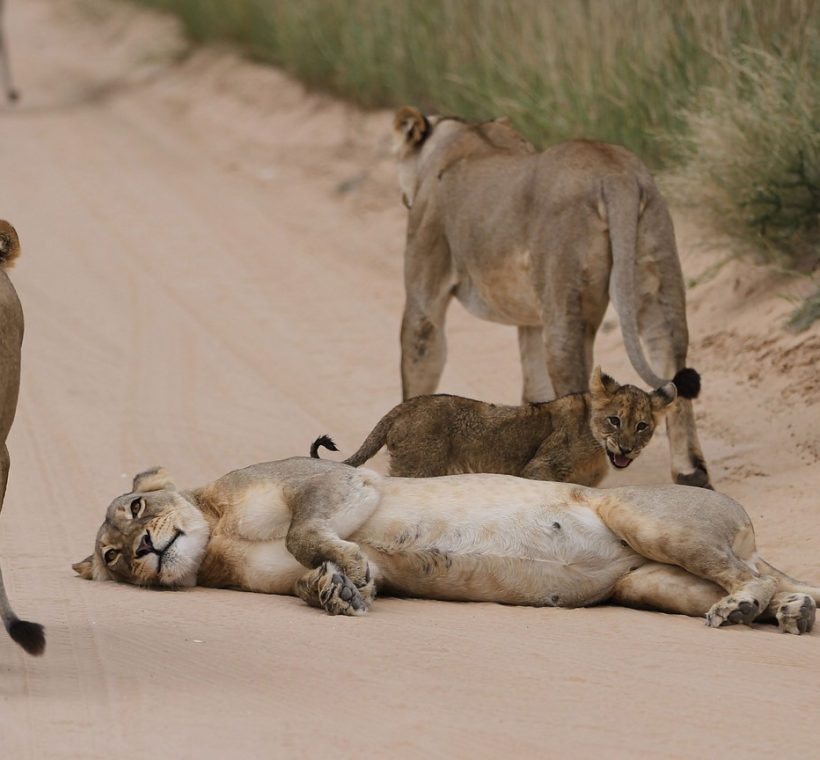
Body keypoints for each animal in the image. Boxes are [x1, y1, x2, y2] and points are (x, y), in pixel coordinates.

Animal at [312, 367, 700, 487]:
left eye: (643, 426)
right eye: (615, 420)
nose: (626, 449)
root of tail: (404, 406)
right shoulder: (538, 469)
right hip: (416, 466)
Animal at [393, 106, 710, 489]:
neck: (465, 135)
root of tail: (614, 172)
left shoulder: (425, 291)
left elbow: (418, 364)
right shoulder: (531, 318)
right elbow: (535, 389)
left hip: (565, 303)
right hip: (658, 269)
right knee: (671, 361)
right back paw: (692, 473)